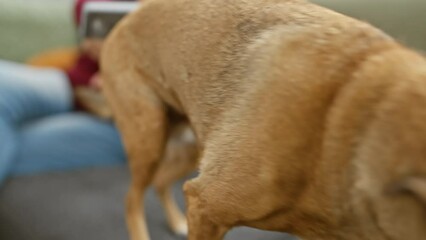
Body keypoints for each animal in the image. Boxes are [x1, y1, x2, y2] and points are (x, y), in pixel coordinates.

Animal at [100, 0, 426, 239]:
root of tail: (133, 13)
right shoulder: (205, 205)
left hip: (192, 147)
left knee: (160, 182)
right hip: (150, 137)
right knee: (132, 198)